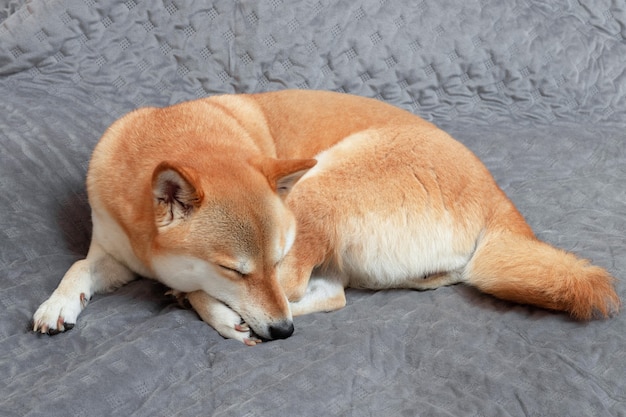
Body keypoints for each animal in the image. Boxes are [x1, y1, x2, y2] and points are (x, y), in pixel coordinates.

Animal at [34, 89, 620, 342]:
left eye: (269, 261)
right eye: (234, 269)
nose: (283, 333)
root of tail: (500, 201)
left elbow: (279, 288)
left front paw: (208, 302)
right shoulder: (111, 251)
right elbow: (78, 268)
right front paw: (59, 303)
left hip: (318, 189)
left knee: (310, 292)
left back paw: (208, 308)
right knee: (331, 294)